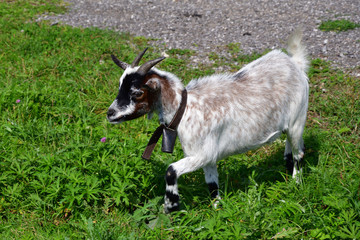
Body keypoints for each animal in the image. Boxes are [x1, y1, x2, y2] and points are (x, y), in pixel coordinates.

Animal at [107, 29, 310, 213]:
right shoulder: (209, 157)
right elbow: (212, 184)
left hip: (298, 119)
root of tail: (294, 63)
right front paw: (217, 210)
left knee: (299, 152)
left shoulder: (202, 154)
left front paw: (171, 206)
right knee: (290, 147)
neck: (185, 108)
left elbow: (171, 170)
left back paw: (295, 184)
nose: (110, 113)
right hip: (288, 125)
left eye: (137, 92)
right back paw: (287, 169)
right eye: (120, 85)